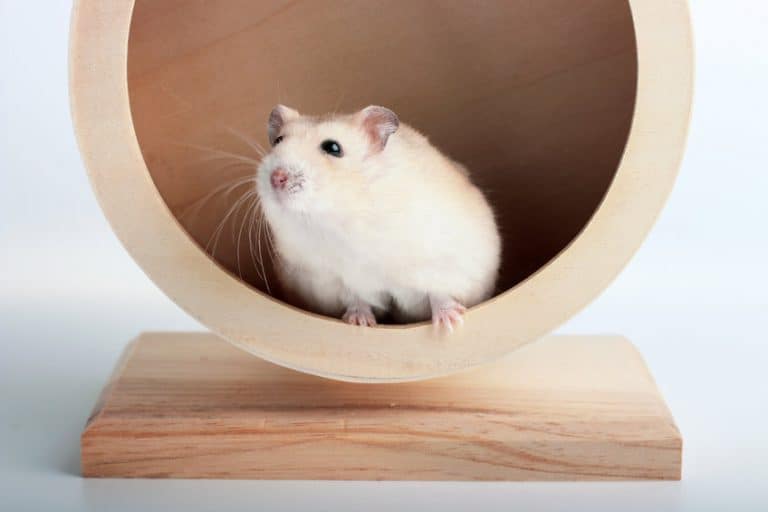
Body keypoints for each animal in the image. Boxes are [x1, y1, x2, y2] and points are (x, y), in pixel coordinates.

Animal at [256, 105, 501, 331]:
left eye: (333, 147)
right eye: (278, 140)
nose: (276, 178)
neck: (340, 218)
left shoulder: (442, 261)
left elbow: (439, 293)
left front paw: (450, 325)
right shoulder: (333, 278)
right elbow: (357, 299)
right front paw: (361, 322)